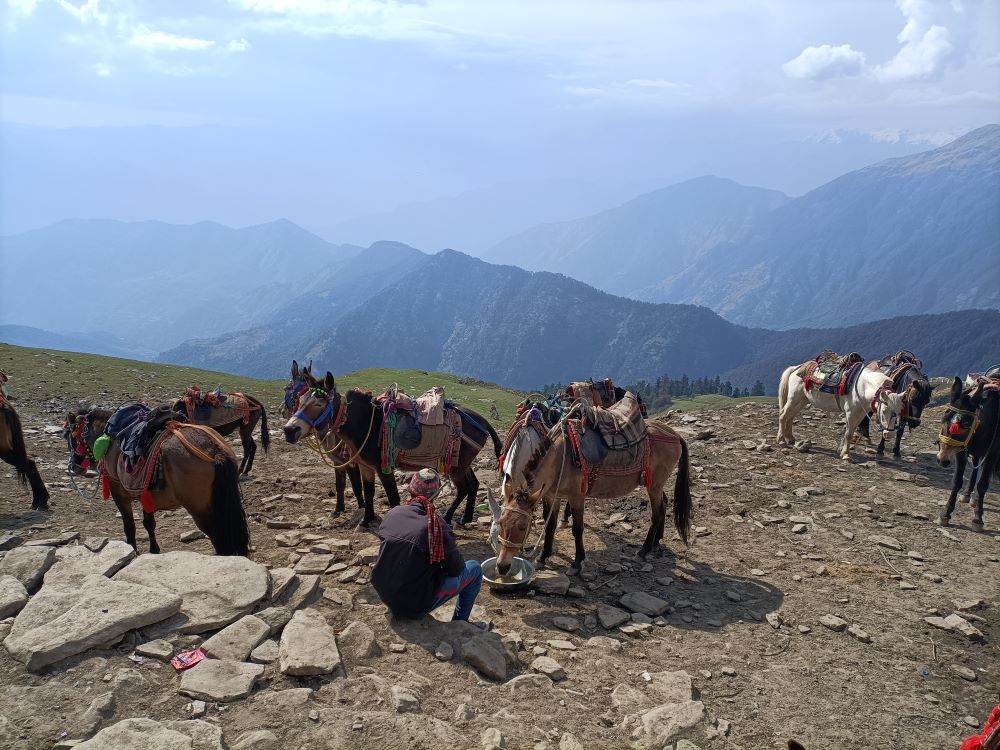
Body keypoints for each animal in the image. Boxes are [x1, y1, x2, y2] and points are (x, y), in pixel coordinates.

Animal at [67, 408, 249, 556]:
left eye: (71, 437)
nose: (75, 466)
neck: (111, 439)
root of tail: (215, 452)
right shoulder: (144, 493)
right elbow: (149, 523)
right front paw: (154, 550)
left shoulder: (118, 491)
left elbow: (129, 526)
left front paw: (133, 551)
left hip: (200, 510)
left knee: (218, 538)